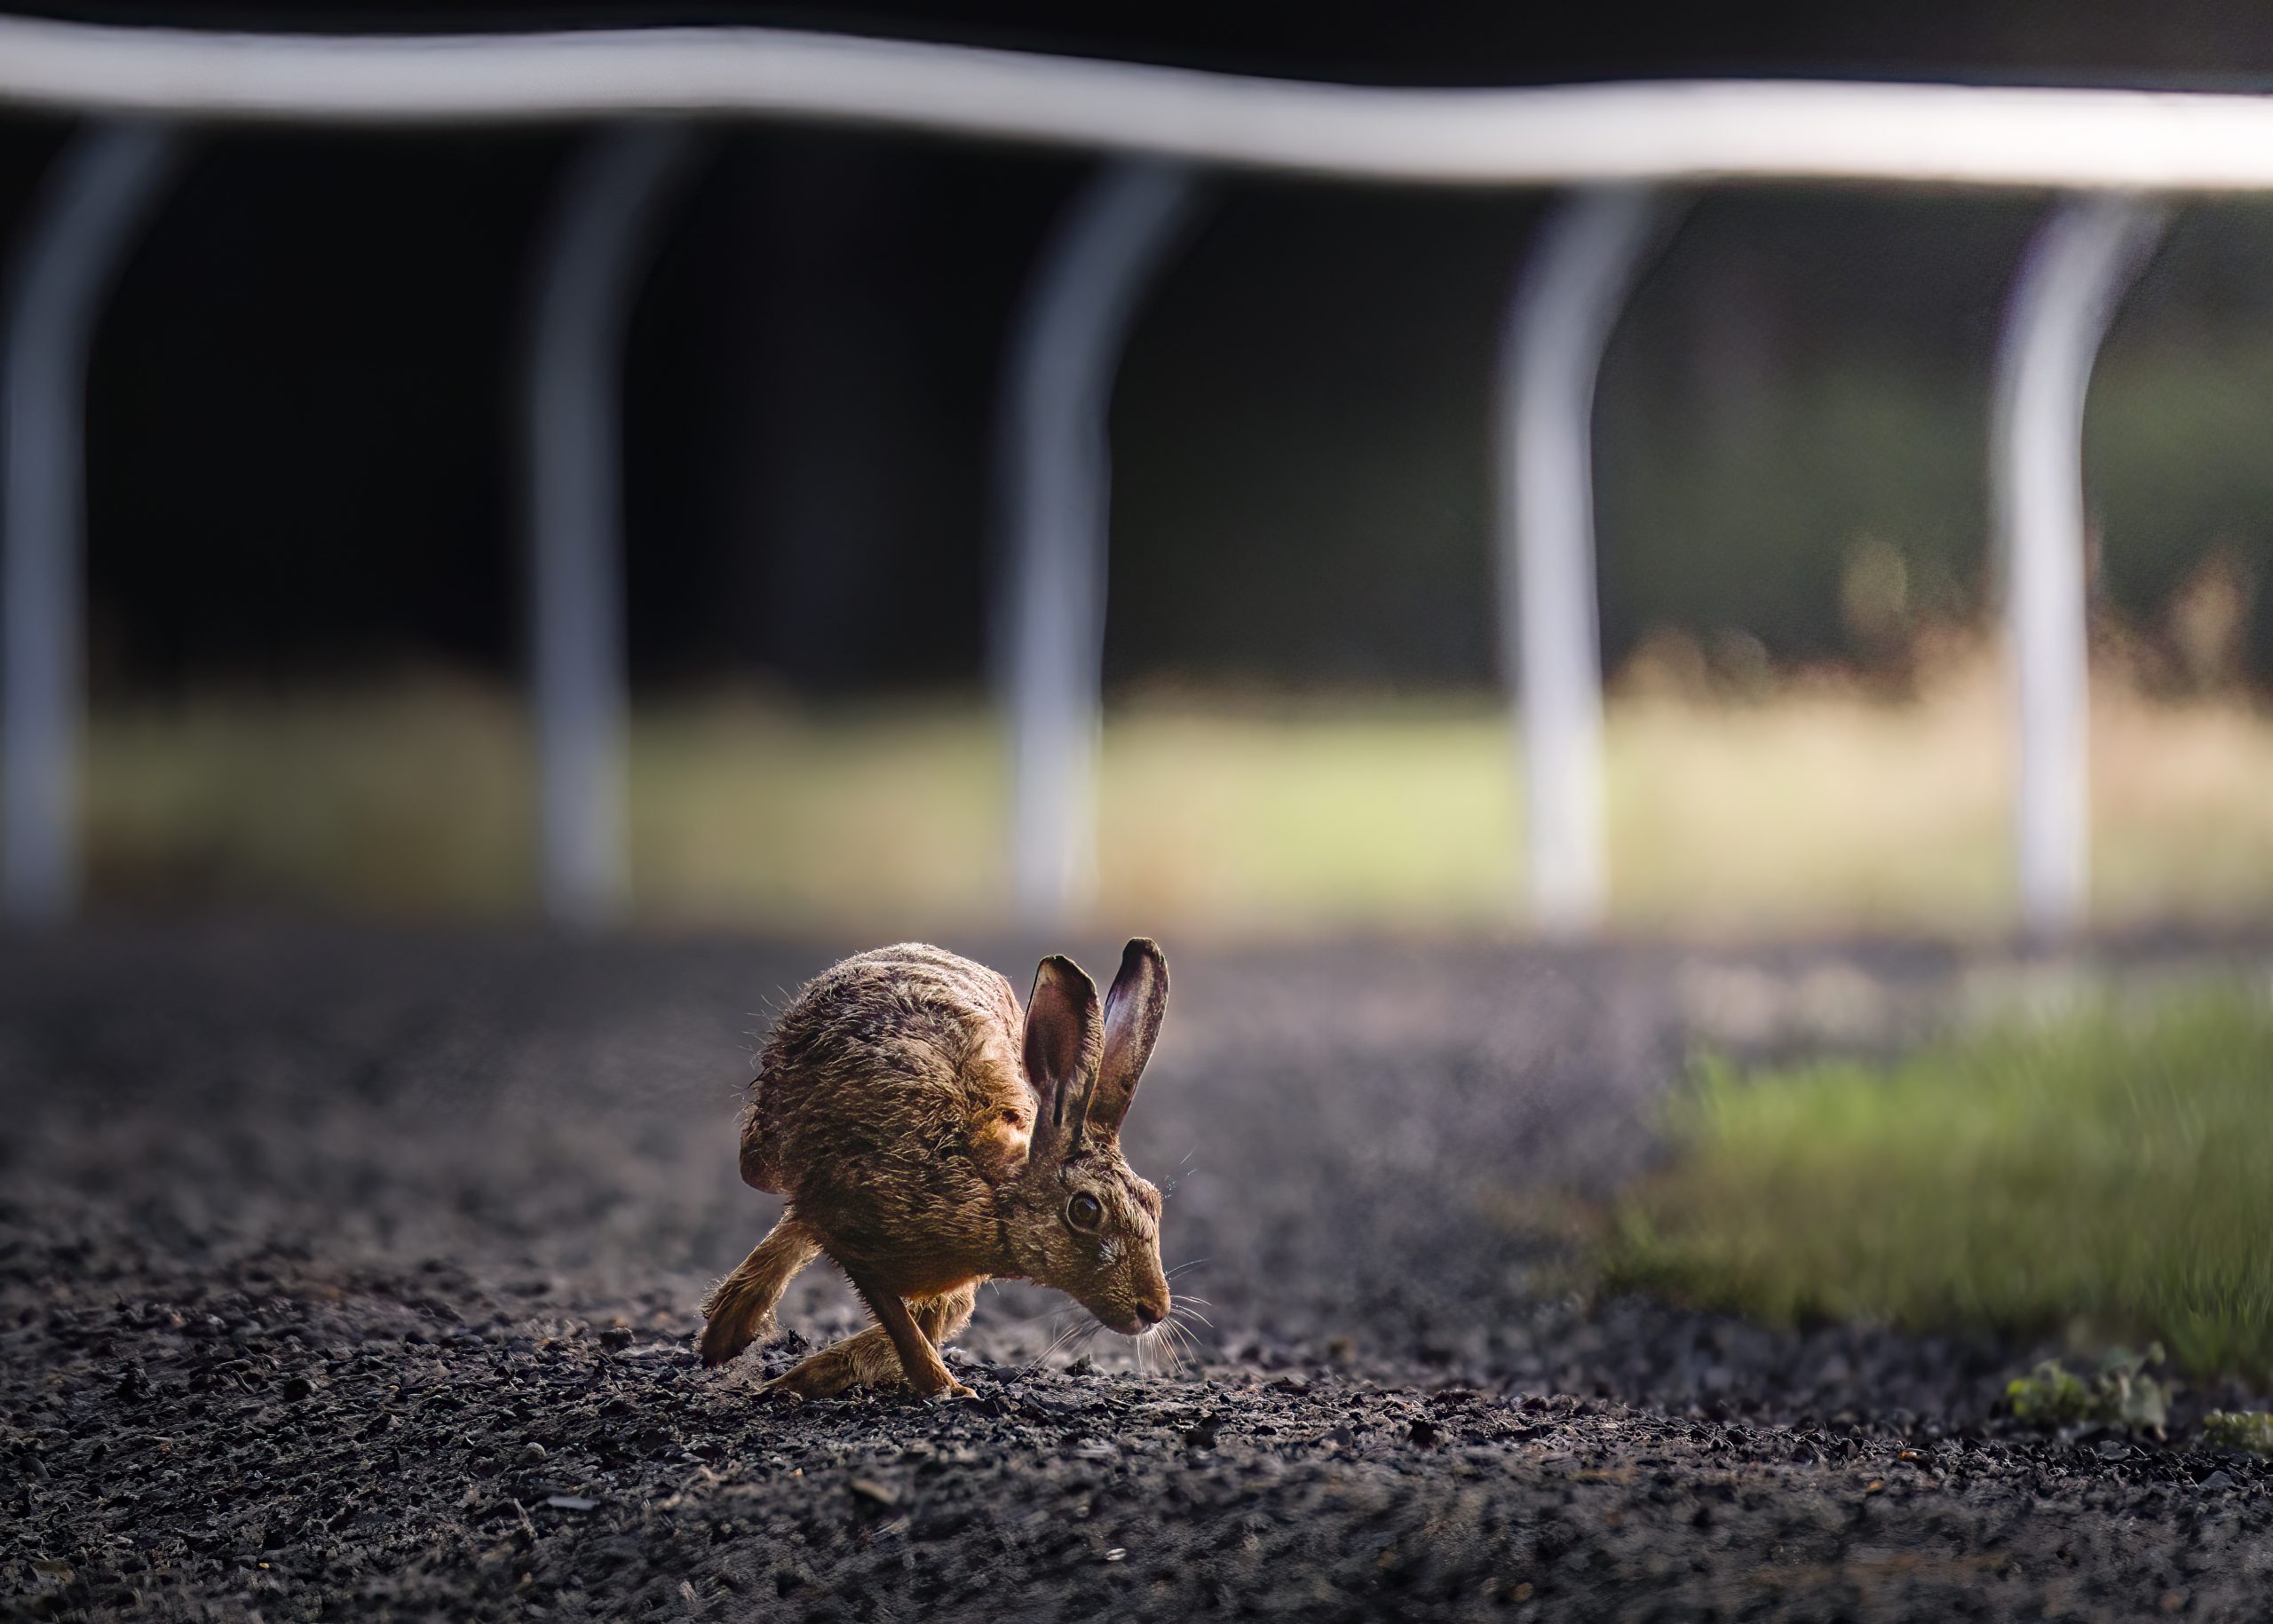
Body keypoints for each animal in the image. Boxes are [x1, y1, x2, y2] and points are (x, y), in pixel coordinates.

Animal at [697, 938, 1173, 1398]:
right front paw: (948, 1389)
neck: (992, 1188)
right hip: (764, 1156)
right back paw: (725, 1334)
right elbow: (899, 1321)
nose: (1154, 1309)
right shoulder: (856, 1232)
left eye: (1154, 1202)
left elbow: (934, 1317)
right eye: (1085, 1210)